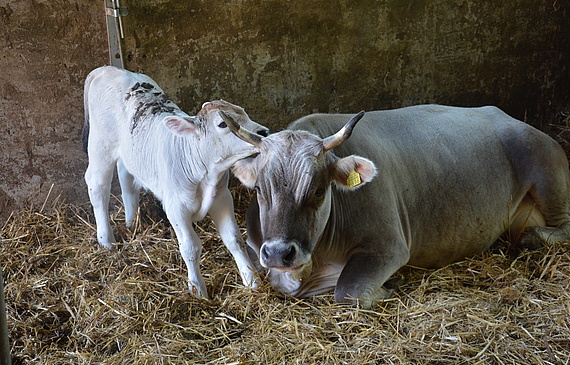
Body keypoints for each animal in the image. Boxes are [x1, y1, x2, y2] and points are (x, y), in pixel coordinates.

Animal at [82, 66, 268, 298]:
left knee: (126, 177)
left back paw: (132, 222)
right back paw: (106, 240)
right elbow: (190, 247)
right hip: (101, 146)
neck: (205, 174)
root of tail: (107, 69)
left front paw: (252, 280)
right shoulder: (176, 208)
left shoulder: (222, 197)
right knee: (97, 185)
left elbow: (235, 240)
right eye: (223, 124)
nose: (263, 132)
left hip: (130, 152)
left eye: (243, 112)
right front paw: (197, 290)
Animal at [224, 104, 568, 308]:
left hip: (546, 173)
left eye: (319, 191)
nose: (279, 253)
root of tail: (507, 116)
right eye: (258, 189)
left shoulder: (388, 247)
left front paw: (390, 288)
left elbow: (348, 289)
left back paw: (530, 236)